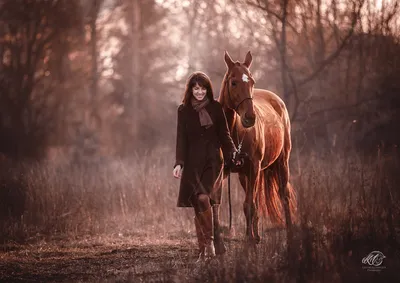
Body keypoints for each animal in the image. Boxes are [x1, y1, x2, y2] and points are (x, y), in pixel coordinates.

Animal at [219, 51, 296, 244]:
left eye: (252, 82)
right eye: (233, 82)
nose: (250, 117)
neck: (234, 131)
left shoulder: (254, 167)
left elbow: (249, 205)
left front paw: (249, 241)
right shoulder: (224, 172)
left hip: (281, 163)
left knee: (283, 196)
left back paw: (290, 235)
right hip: (245, 175)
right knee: (256, 198)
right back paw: (257, 235)